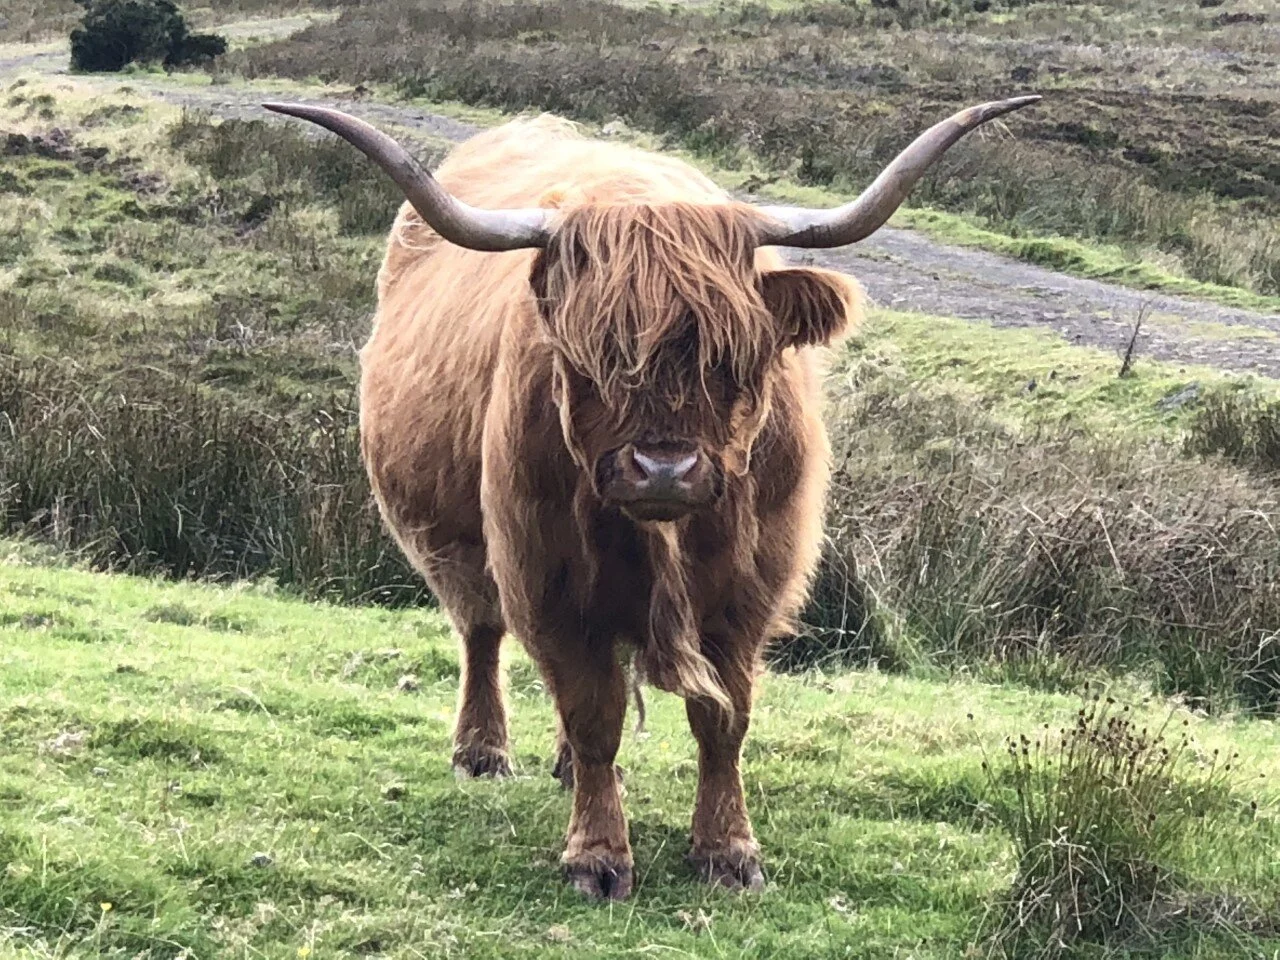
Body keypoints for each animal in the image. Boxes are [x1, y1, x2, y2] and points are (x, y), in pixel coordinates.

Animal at [265, 95, 1038, 900]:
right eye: (590, 359)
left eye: (734, 358)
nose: (664, 469)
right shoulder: (546, 575)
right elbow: (593, 712)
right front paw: (598, 855)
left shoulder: (751, 586)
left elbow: (723, 718)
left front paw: (728, 852)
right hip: (452, 537)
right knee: (480, 630)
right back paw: (482, 752)